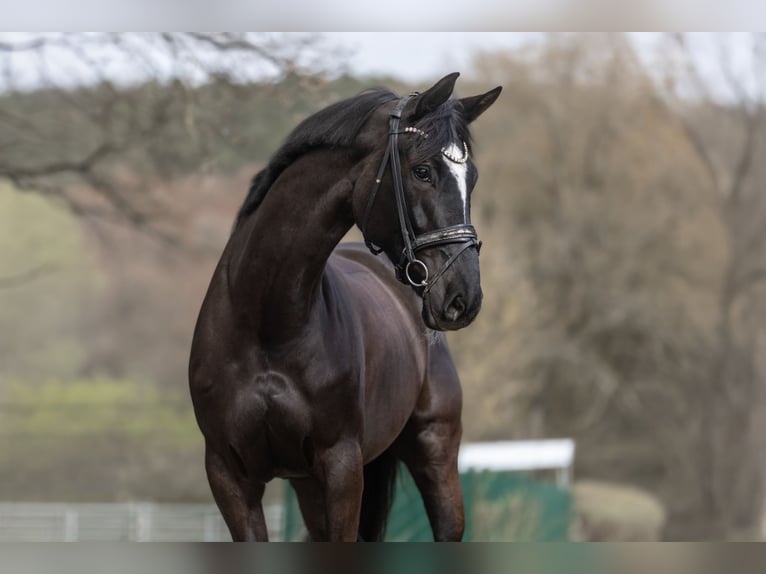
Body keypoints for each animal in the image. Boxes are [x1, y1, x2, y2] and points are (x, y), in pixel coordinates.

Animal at [189, 72, 501, 541]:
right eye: (422, 171)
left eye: (473, 178)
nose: (463, 298)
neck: (267, 322)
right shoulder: (229, 474)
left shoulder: (341, 467)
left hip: (435, 452)